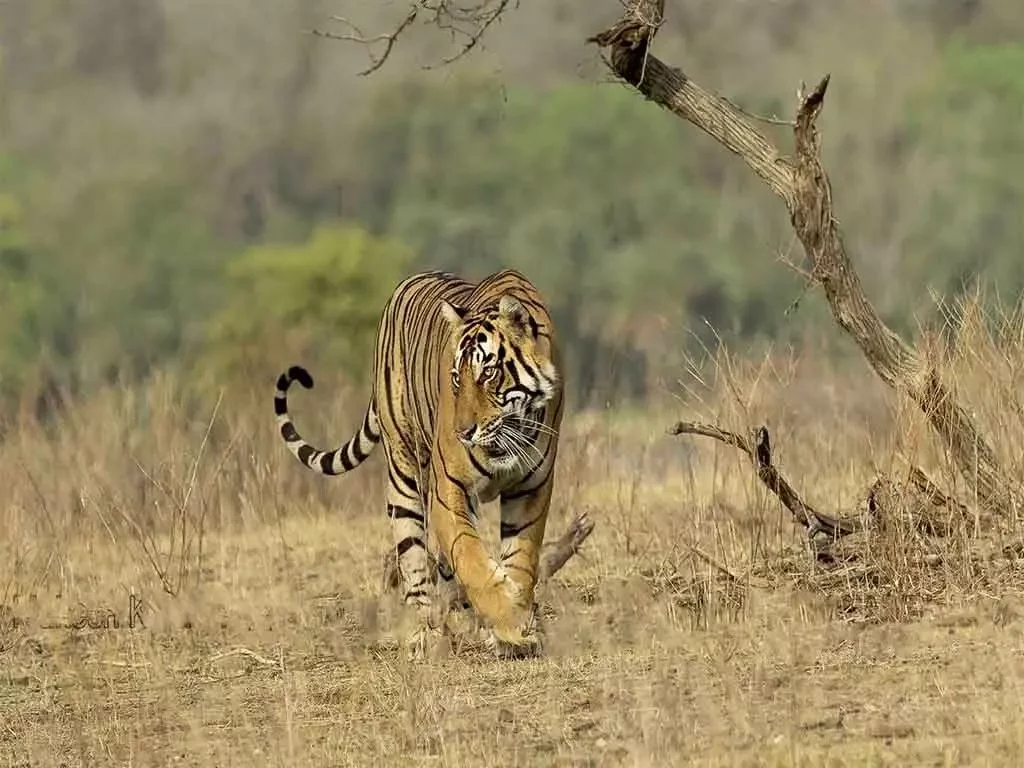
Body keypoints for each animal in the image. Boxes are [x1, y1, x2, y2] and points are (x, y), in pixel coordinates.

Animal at [273, 269, 564, 657]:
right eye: (455, 378)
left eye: (488, 373)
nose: (463, 432)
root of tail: (405, 283)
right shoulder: (448, 489)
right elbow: (468, 555)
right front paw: (510, 624)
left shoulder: (532, 489)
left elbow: (521, 557)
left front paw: (516, 624)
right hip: (404, 472)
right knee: (414, 555)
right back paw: (425, 635)